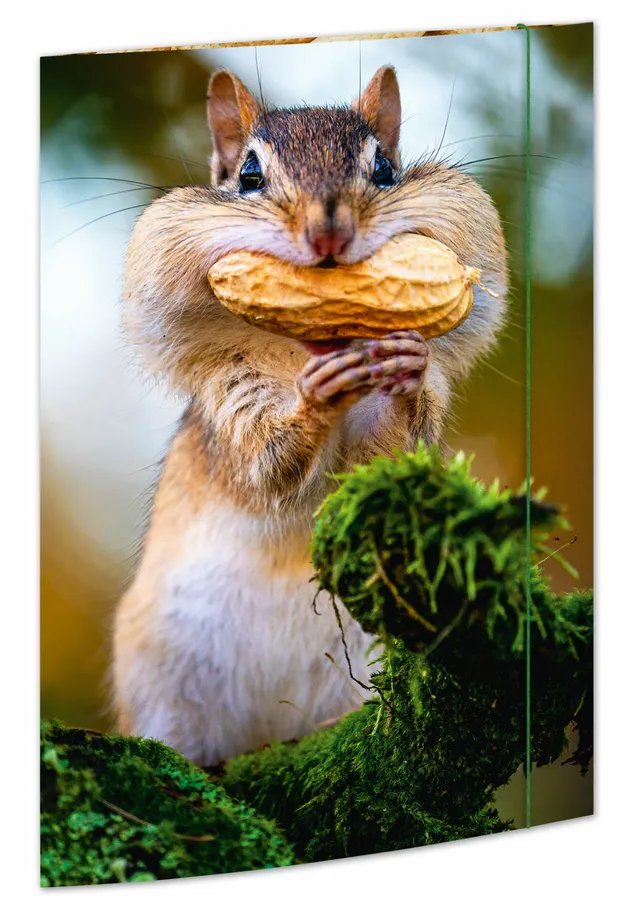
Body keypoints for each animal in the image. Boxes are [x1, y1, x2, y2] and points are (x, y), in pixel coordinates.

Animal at [112, 65, 508, 766]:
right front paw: (315, 399)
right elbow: (267, 466)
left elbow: (391, 455)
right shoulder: (229, 396)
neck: (307, 346)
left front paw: (405, 367)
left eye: (384, 168)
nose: (329, 235)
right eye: (248, 174)